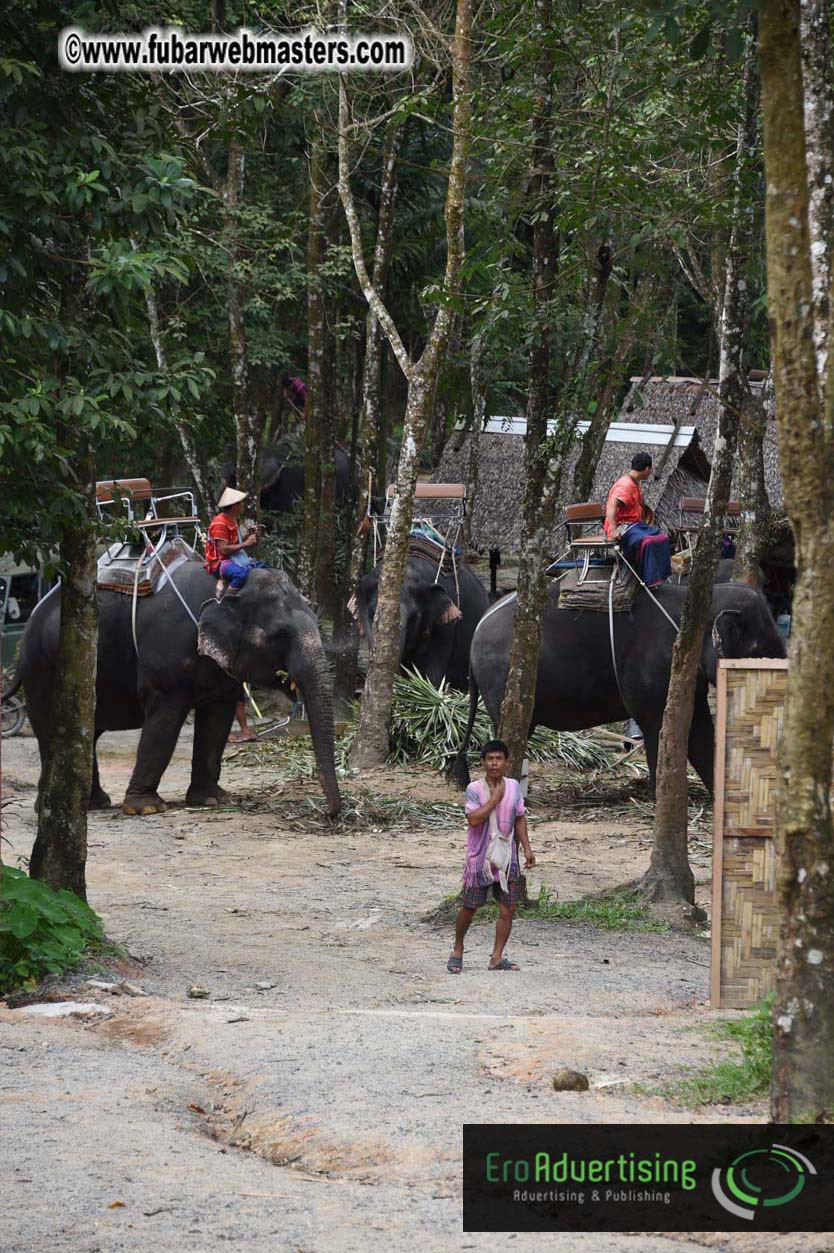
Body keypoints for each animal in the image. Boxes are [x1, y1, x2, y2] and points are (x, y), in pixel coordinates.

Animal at [15, 560, 341, 818]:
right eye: (279, 635)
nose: (330, 813)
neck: (226, 589)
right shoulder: (165, 662)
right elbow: (165, 721)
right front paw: (145, 808)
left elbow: (216, 721)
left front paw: (212, 799)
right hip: (41, 669)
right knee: (52, 729)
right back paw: (54, 806)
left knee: (86, 732)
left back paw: (92, 804)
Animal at [450, 580, 786, 792]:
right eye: (761, 651)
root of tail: (478, 626)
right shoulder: (657, 669)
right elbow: (661, 728)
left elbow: (700, 731)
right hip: (502, 676)